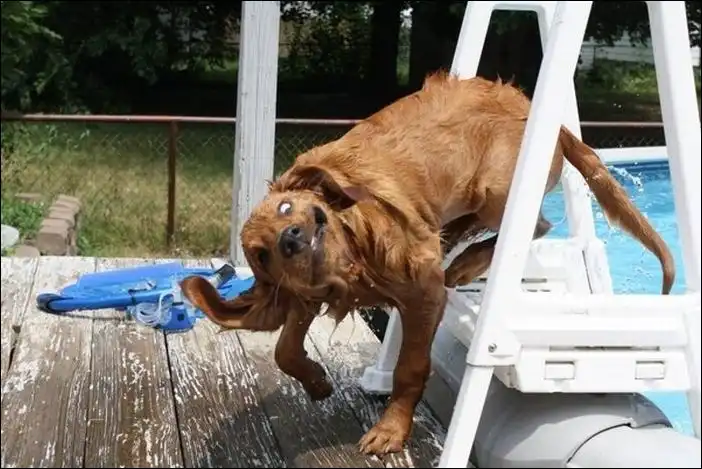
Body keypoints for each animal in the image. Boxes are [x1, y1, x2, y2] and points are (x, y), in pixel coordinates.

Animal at [179, 72, 675, 456]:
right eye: (262, 254)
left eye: (286, 208)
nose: (292, 238)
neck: (354, 259)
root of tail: (545, 116)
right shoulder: (308, 295)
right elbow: (284, 349)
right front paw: (317, 382)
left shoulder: (423, 293)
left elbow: (410, 367)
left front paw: (390, 431)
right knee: (485, 224)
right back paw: (454, 243)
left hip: (496, 191)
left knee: (536, 222)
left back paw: (466, 261)